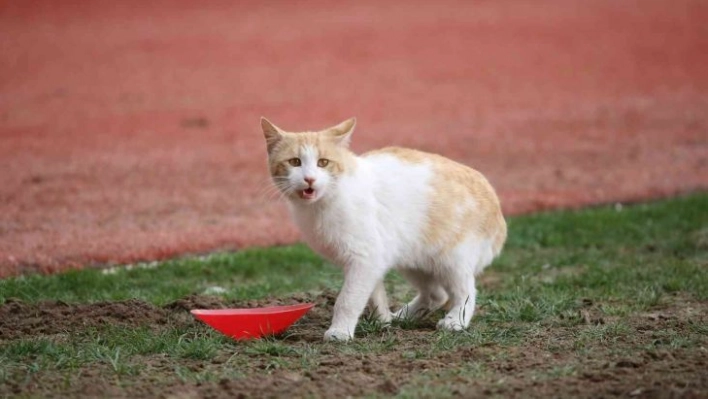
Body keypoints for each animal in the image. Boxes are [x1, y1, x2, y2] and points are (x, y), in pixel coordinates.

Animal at [262, 117, 506, 342]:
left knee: (466, 291)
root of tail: (496, 205)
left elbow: (348, 299)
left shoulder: (364, 258)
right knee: (436, 295)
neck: (326, 201)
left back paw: (456, 321)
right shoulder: (374, 260)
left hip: (452, 259)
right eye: (295, 162)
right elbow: (374, 294)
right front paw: (383, 322)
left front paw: (340, 332)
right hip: (413, 259)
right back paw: (404, 316)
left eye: (323, 162)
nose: (309, 179)